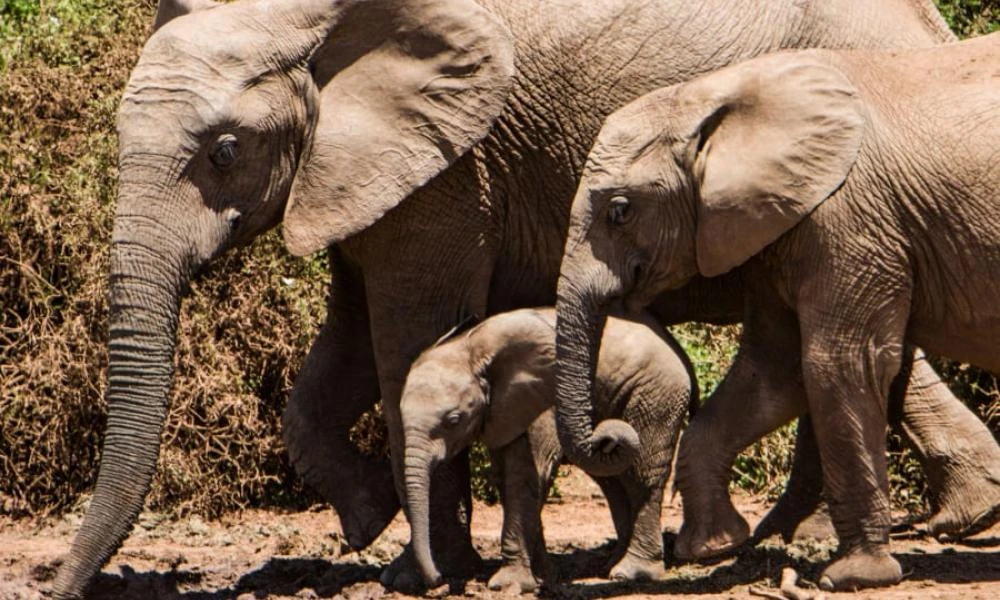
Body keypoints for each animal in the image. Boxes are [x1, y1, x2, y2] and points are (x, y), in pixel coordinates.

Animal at [398, 310, 696, 592]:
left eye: (453, 420)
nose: (439, 579)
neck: (470, 348)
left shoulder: (540, 404)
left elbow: (525, 476)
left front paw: (510, 584)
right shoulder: (502, 412)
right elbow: (507, 478)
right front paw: (544, 576)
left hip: (656, 393)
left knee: (641, 476)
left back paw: (631, 572)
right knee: (614, 480)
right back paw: (611, 565)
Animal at [552, 32, 1000, 592]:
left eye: (619, 210)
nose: (610, 435)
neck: (714, 95)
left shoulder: (847, 218)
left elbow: (837, 363)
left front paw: (852, 577)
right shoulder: (778, 226)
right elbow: (772, 371)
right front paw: (713, 547)